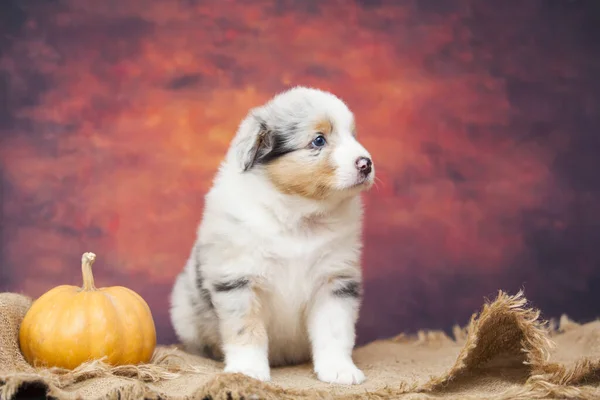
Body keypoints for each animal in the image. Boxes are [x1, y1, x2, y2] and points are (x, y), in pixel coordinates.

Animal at [170, 86, 376, 384]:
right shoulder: (239, 280)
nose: (366, 164)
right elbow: (246, 330)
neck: (298, 215)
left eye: (353, 135)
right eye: (318, 140)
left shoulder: (335, 280)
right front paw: (248, 371)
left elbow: (335, 331)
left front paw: (340, 370)